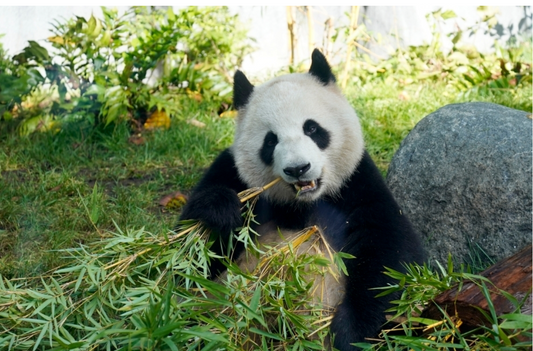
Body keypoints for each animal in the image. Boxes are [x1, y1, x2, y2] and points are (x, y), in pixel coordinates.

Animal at [181, 49, 426, 351]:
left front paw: (348, 334)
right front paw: (221, 211)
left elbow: (389, 254)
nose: (298, 168)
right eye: (270, 141)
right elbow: (192, 259)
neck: (302, 204)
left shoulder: (357, 185)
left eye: (311, 128)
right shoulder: (233, 173)